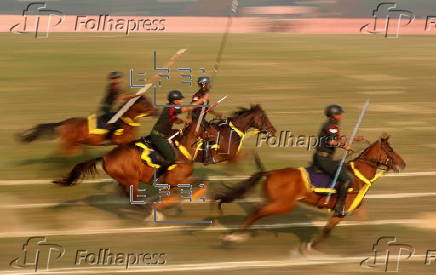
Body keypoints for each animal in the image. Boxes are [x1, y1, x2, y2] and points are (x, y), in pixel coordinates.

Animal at [19, 96, 158, 154]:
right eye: (145, 103)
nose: (156, 111)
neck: (124, 120)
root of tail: (64, 122)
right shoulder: (121, 142)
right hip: (70, 144)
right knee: (62, 153)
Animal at [52, 105, 274, 218]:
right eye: (264, 117)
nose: (273, 130)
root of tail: (106, 156)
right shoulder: (224, 157)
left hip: (126, 181)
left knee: (125, 194)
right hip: (131, 180)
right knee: (133, 198)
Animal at [214, 135, 406, 251]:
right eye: (390, 149)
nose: (403, 163)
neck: (357, 175)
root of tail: (270, 172)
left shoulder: (356, 210)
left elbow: (366, 223)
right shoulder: (340, 212)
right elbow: (327, 230)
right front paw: (309, 248)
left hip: (275, 202)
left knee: (256, 211)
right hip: (283, 205)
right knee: (257, 212)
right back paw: (231, 238)